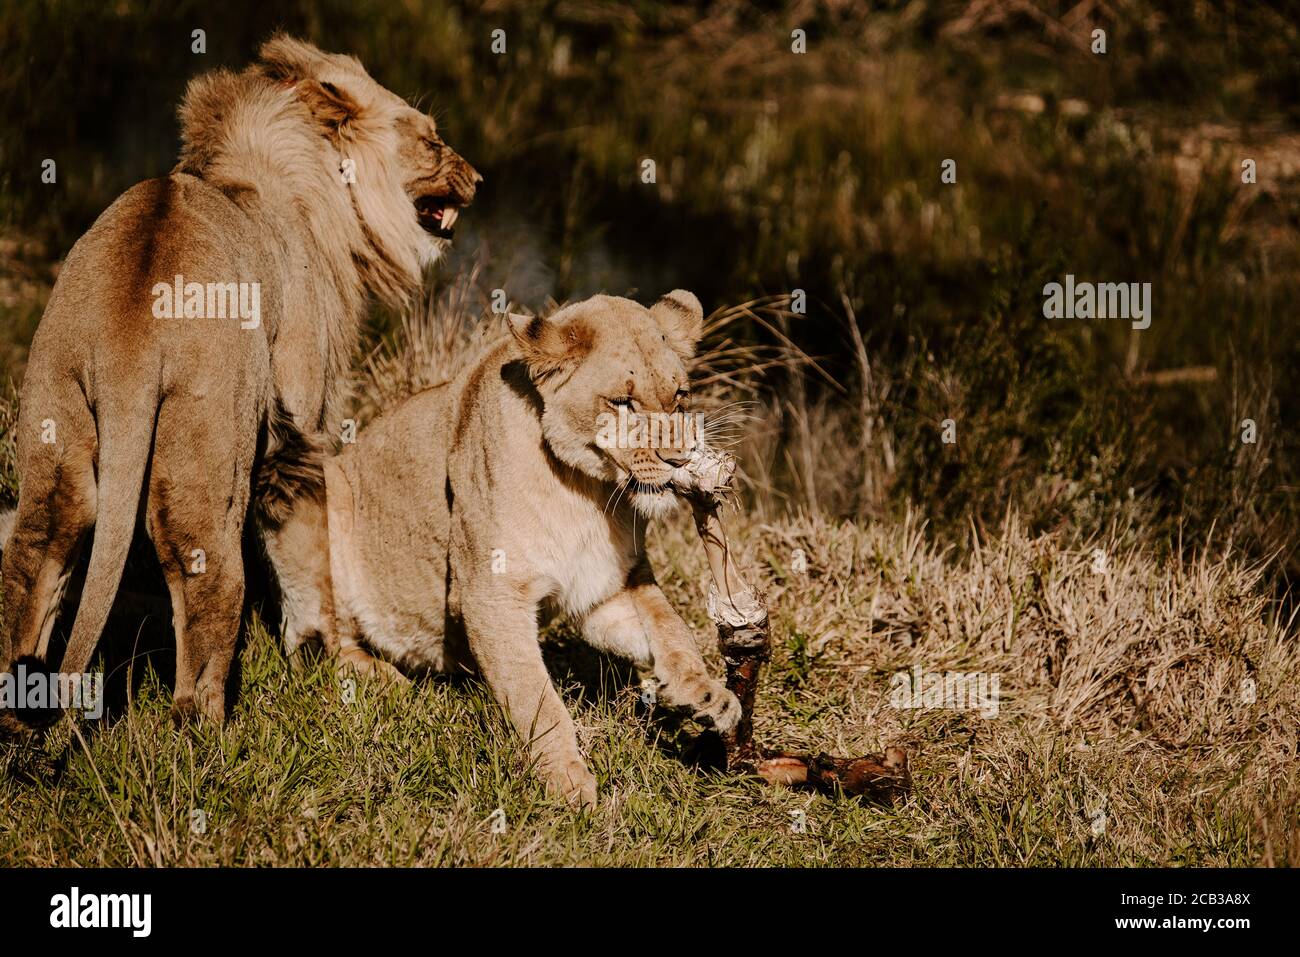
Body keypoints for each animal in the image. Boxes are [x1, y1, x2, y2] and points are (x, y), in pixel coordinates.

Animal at [1, 37, 478, 722]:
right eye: (432, 140)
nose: (478, 180)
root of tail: (129, 338)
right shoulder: (301, 421)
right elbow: (308, 542)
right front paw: (346, 660)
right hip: (210, 446)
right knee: (202, 578)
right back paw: (205, 724)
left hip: (57, 410)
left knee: (40, 546)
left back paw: (17, 711)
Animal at [274, 293, 743, 806]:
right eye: (622, 402)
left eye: (680, 396)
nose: (680, 459)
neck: (586, 491)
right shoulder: (490, 593)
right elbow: (533, 695)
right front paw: (568, 782)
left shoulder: (602, 587)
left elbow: (669, 625)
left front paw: (707, 693)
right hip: (316, 490)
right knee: (318, 641)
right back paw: (386, 681)